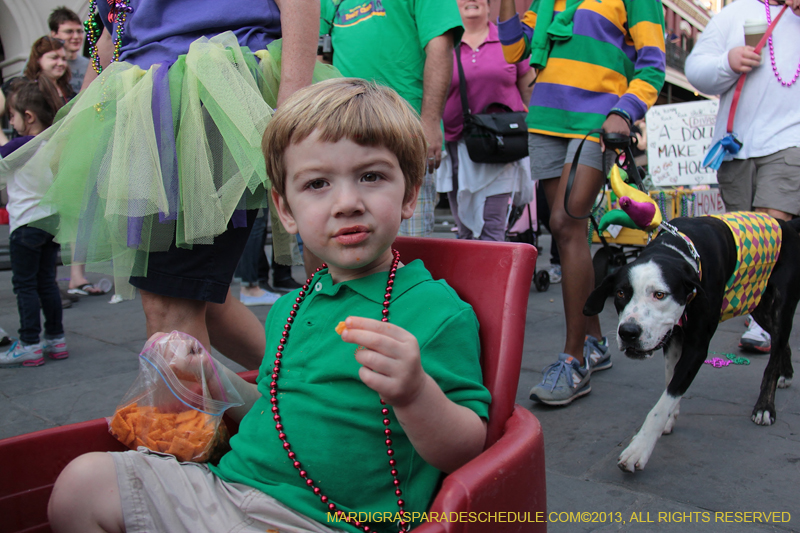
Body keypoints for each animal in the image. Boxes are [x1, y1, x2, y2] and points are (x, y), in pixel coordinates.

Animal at [580, 214, 800, 472]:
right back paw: (786, 374)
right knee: (780, 341)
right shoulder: (672, 337)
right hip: (756, 303)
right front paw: (670, 418)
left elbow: (663, 402)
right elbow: (671, 380)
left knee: (774, 353)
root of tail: (786, 224)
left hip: (781, 306)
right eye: (621, 293)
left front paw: (639, 448)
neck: (678, 251)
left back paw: (765, 406)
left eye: (660, 295)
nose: (628, 333)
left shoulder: (697, 348)